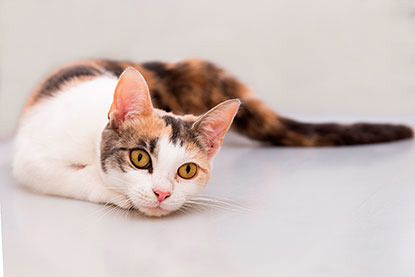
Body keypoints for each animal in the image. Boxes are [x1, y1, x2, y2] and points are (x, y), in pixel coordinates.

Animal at [13, 58, 412, 216]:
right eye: (140, 158)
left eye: (187, 171)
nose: (163, 194)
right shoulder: (27, 158)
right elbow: (74, 177)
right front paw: (115, 192)